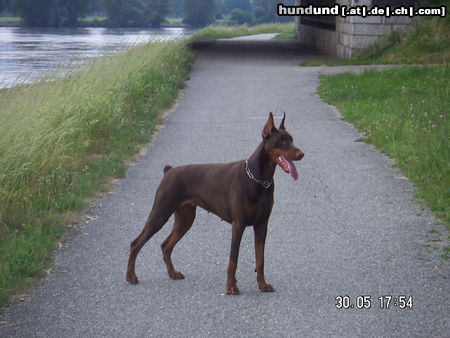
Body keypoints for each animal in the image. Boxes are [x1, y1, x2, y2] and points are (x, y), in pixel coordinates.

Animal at [125, 112, 304, 294]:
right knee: (136, 243)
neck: (259, 178)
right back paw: (131, 276)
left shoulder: (262, 224)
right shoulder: (238, 224)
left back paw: (173, 273)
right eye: (282, 141)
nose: (301, 154)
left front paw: (262, 285)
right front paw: (231, 286)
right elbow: (233, 260)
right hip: (160, 212)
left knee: (165, 245)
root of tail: (169, 171)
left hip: (185, 219)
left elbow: (260, 259)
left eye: (292, 139)